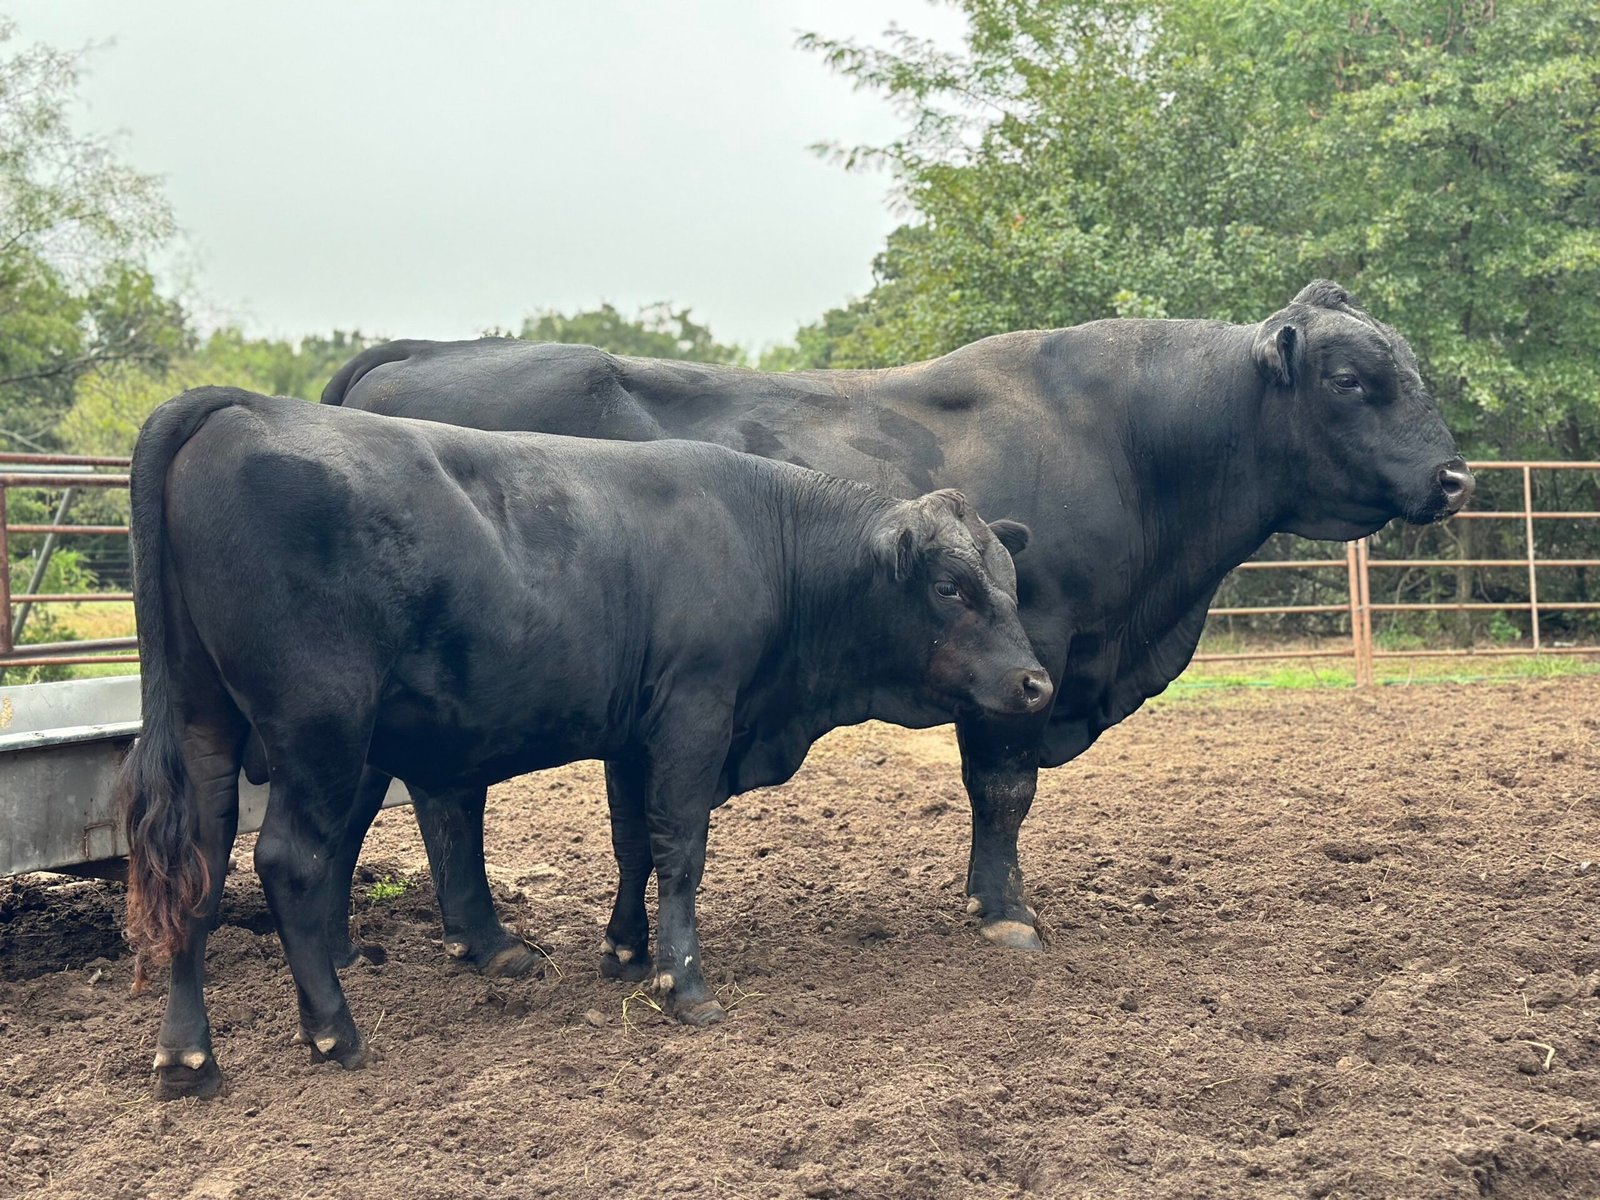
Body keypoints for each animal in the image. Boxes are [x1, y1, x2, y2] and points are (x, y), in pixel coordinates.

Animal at [120, 386, 1050, 1099]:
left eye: (1010, 582)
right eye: (949, 586)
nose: (1036, 684)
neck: (763, 534)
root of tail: (242, 406)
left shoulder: (633, 732)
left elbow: (632, 841)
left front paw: (626, 952)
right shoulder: (694, 712)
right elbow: (680, 846)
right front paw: (684, 983)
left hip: (205, 724)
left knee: (194, 865)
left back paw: (187, 1057)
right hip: (321, 729)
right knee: (288, 863)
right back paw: (334, 1031)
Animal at [322, 281, 1475, 961]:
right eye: (1351, 377)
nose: (1455, 476)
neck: (1127, 441)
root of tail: (418, 353)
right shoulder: (1034, 655)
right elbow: (1002, 791)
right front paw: (1006, 913)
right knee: (446, 802)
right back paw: (483, 942)